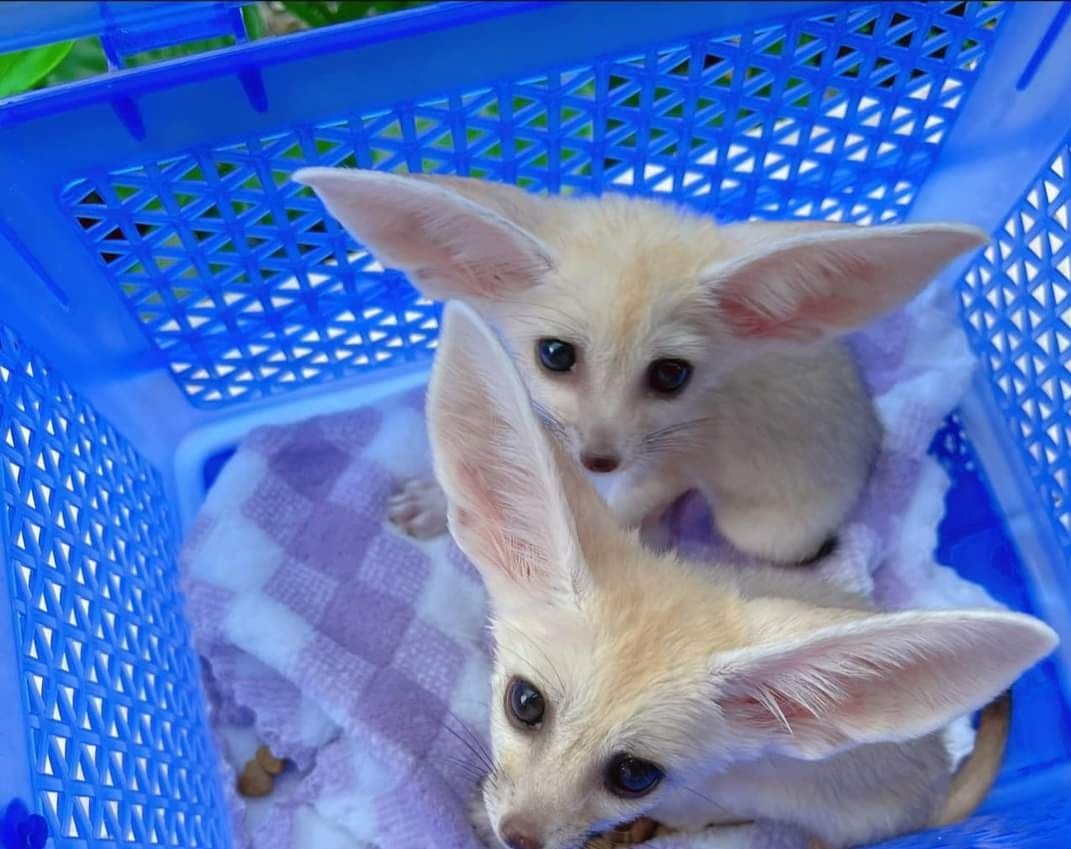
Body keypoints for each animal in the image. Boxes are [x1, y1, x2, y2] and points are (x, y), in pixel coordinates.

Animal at [294, 167, 986, 565]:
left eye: (670, 375)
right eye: (555, 355)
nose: (599, 460)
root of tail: (875, 433)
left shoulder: (668, 463)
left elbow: (612, 510)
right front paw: (439, 503)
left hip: (759, 528)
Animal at [419, 301, 1056, 849]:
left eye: (635, 775)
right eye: (524, 703)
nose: (517, 837)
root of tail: (936, 781)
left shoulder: (698, 795)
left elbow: (675, 813)